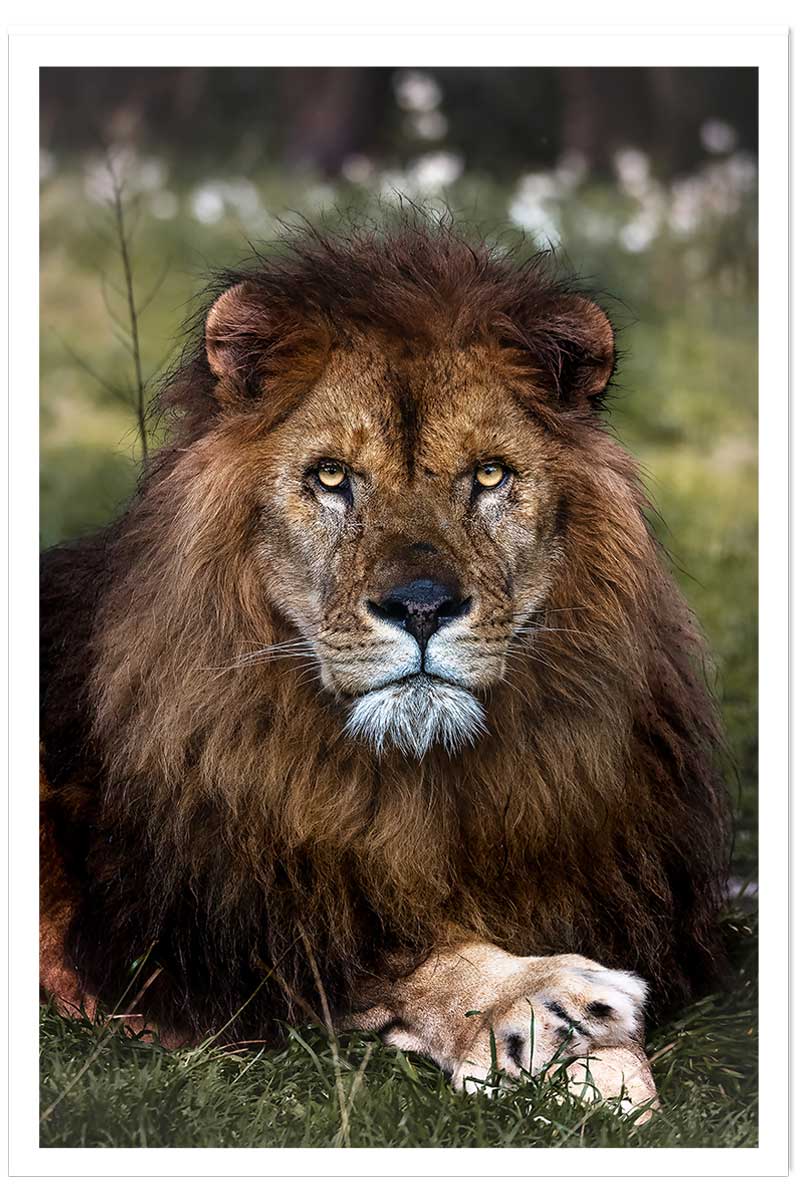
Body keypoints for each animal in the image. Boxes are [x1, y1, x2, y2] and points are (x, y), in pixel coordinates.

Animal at [40, 218, 731, 1114]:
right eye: (332, 476)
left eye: (489, 474)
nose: (422, 606)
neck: (417, 781)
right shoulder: (177, 943)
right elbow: (393, 958)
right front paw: (546, 1011)